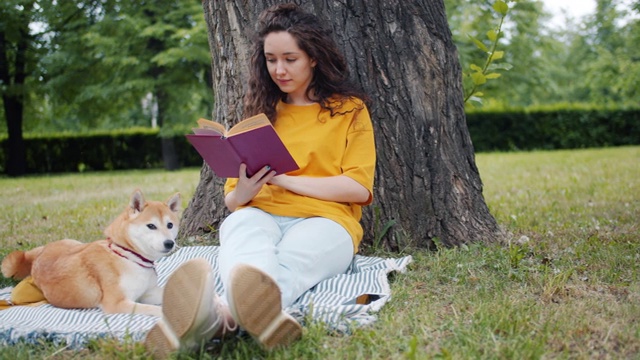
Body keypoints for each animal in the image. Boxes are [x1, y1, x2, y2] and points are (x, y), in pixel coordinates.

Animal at [1, 190, 181, 316]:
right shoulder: (117, 303)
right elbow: (154, 309)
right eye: (151, 226)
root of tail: (40, 254)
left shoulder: (147, 292)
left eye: (170, 225)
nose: (169, 243)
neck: (129, 256)